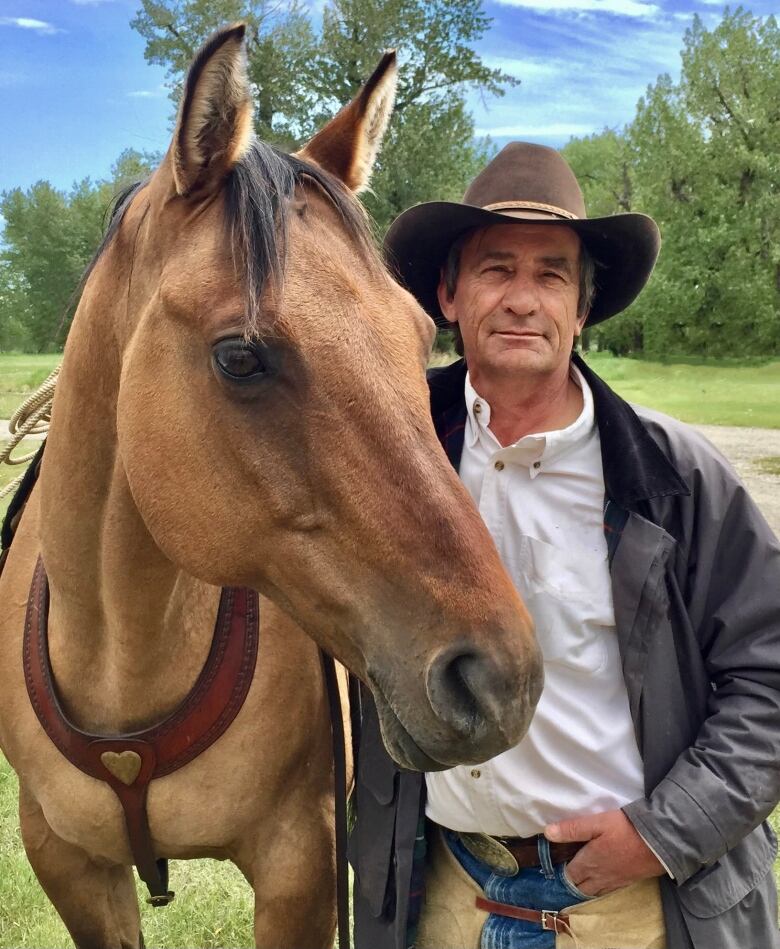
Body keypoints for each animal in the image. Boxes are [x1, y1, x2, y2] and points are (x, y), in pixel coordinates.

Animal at [0, 22, 544, 948]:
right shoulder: (67, 863)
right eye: (240, 357)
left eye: (415, 332)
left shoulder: (301, 864)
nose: (498, 677)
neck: (121, 661)